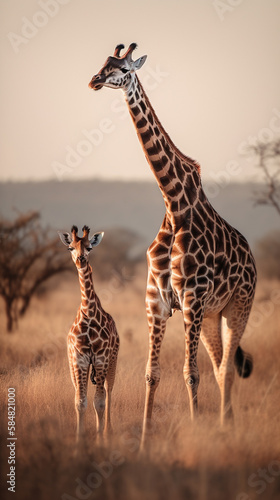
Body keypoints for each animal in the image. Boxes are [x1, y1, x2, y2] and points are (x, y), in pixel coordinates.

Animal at [58, 225, 120, 444]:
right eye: (70, 247)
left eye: (89, 247)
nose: (81, 260)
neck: (88, 312)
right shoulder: (80, 359)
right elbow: (81, 402)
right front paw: (80, 442)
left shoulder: (101, 358)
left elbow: (99, 402)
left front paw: (100, 441)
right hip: (74, 366)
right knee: (80, 392)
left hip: (112, 360)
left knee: (109, 390)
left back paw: (108, 431)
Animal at [89, 43, 256, 450]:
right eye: (103, 64)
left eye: (122, 69)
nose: (94, 81)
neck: (174, 204)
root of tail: (252, 258)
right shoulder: (157, 302)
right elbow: (153, 373)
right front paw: (144, 441)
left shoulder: (191, 299)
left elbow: (190, 372)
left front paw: (195, 433)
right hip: (213, 316)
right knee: (220, 366)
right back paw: (226, 424)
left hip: (237, 306)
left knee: (226, 368)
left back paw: (225, 429)